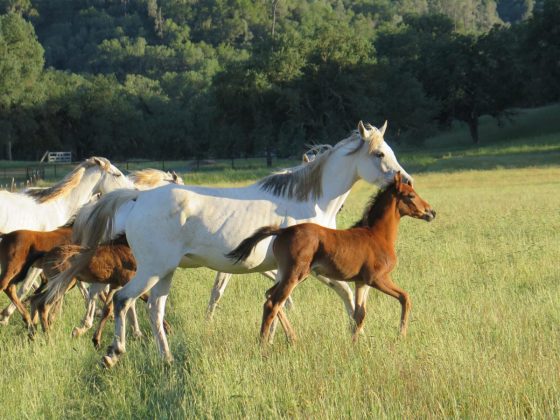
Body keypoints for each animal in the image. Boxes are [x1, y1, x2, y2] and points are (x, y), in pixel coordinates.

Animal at [73, 120, 412, 366]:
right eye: (379, 154)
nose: (406, 181)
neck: (307, 203)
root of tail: (137, 198)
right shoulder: (308, 269)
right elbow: (335, 296)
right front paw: (355, 334)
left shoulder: (291, 270)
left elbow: (294, 301)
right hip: (151, 270)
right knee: (122, 300)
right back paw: (112, 353)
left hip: (164, 272)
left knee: (154, 309)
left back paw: (166, 359)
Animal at [229, 172, 438, 342]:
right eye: (410, 195)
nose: (431, 212)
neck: (377, 235)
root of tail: (282, 231)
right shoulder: (377, 278)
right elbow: (405, 297)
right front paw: (401, 335)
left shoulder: (361, 282)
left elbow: (359, 314)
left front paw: (354, 343)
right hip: (295, 274)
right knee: (272, 303)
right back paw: (263, 344)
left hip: (291, 274)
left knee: (270, 296)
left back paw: (291, 339)